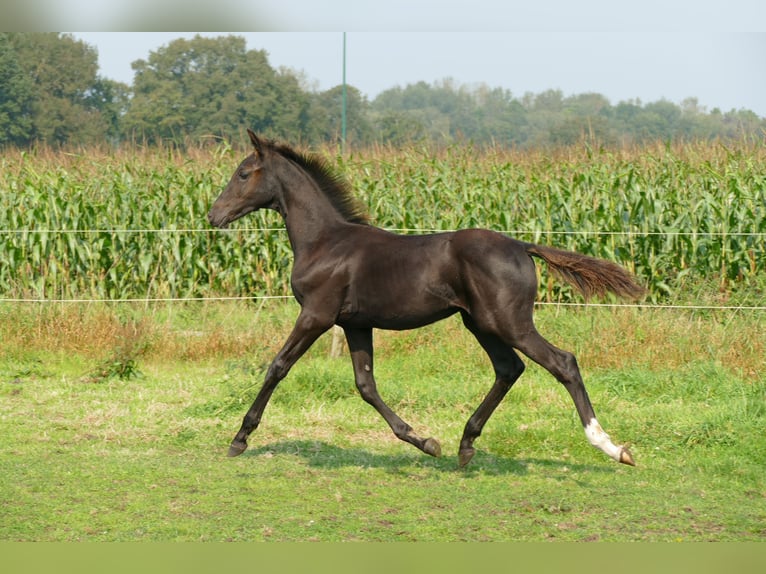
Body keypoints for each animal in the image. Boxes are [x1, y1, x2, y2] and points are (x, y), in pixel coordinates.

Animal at [207, 129, 644, 468]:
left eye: (242, 173)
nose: (214, 215)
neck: (324, 242)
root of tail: (521, 245)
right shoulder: (355, 323)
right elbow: (366, 385)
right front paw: (426, 442)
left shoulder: (316, 315)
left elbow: (277, 367)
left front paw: (239, 438)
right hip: (479, 322)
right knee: (509, 368)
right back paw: (465, 445)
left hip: (508, 322)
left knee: (562, 362)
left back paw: (611, 447)